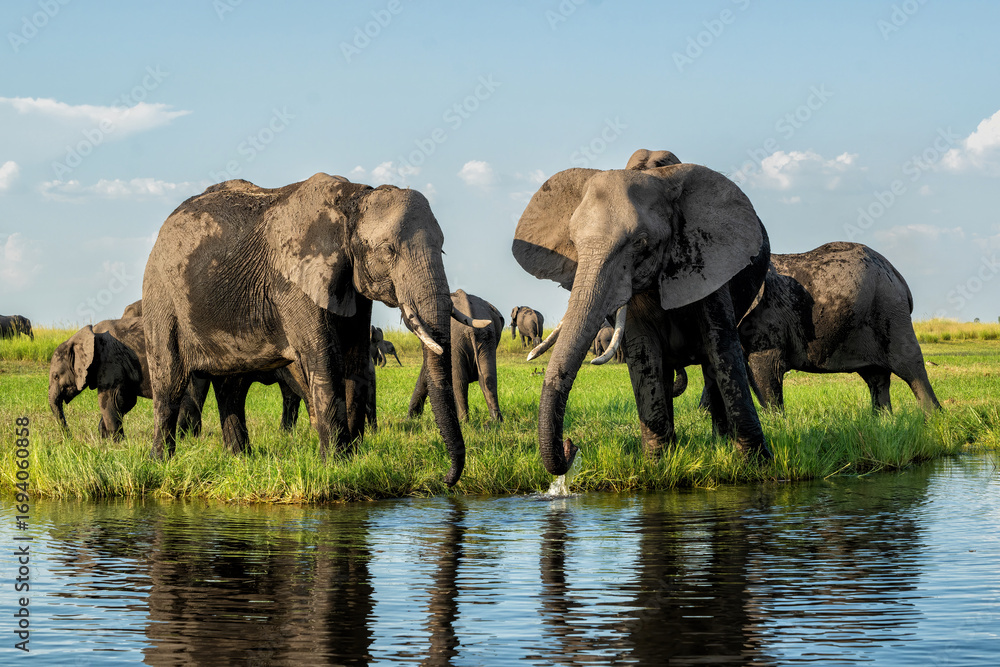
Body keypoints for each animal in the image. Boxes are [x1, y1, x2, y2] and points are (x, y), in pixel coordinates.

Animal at [142, 174, 470, 485]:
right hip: (161, 295)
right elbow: (325, 361)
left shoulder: (352, 284)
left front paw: (353, 460)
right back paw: (161, 464)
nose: (445, 478)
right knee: (169, 381)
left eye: (442, 249)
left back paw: (240, 460)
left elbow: (355, 360)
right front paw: (336, 466)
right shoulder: (293, 283)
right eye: (388, 250)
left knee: (231, 387)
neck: (351, 201)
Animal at [410, 289, 505, 422]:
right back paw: (496, 421)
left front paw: (410, 418)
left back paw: (464, 422)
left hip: (457, 340)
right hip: (486, 339)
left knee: (460, 382)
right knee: (488, 379)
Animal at [511, 149, 772, 475]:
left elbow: (721, 345)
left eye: (640, 243)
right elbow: (644, 350)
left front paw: (756, 466)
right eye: (573, 243)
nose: (571, 446)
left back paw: (721, 441)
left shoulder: (710, 260)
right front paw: (658, 467)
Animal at [733, 241, 941, 414]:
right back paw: (884, 424)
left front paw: (778, 426)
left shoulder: (767, 315)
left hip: (890, 309)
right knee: (876, 377)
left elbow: (767, 369)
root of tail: (898, 275)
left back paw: (933, 420)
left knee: (909, 368)